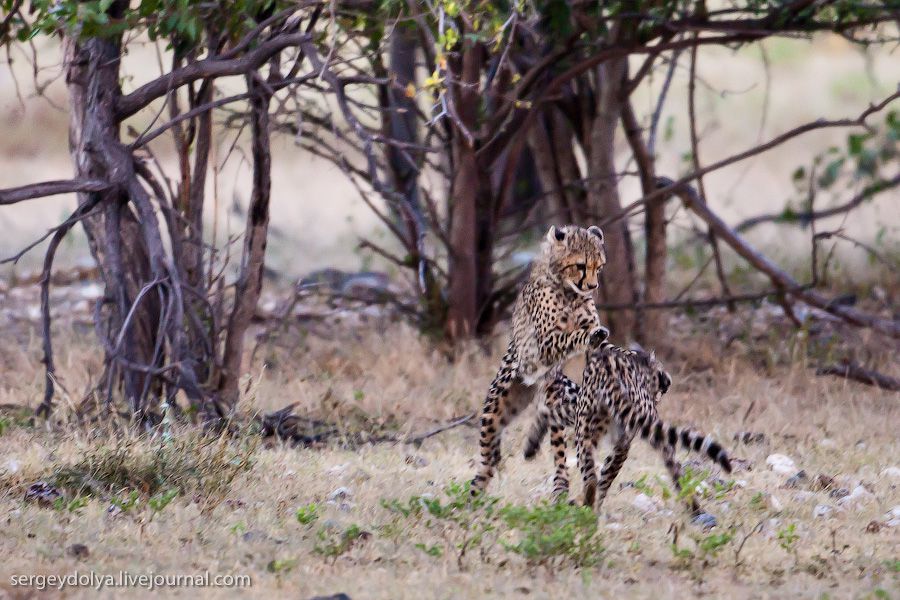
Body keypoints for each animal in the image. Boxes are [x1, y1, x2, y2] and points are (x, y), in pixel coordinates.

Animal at [472, 223, 612, 494]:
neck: (568, 289)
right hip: (495, 411)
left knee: (553, 429)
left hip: (555, 393)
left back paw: (546, 463)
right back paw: (475, 493)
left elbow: (604, 347)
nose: (592, 286)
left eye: (599, 267)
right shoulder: (545, 344)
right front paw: (586, 335)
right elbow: (571, 336)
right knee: (486, 460)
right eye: (581, 265)